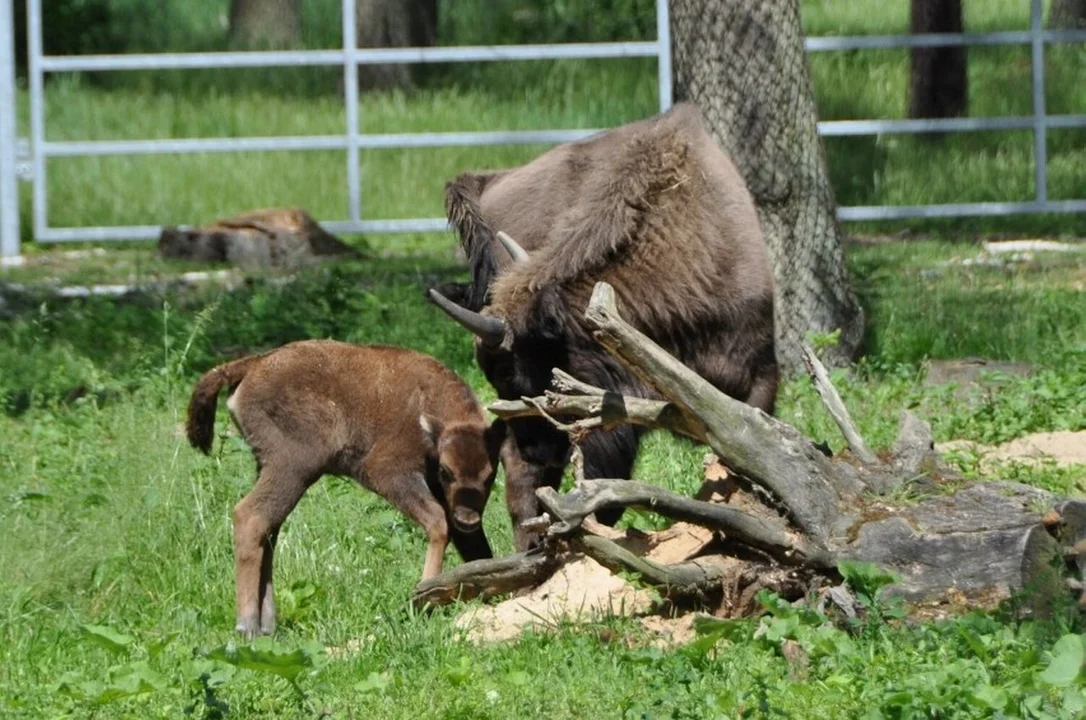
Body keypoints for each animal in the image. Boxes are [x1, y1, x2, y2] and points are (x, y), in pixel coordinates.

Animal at [186, 338, 503, 638]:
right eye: (445, 471)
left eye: (490, 475)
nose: (468, 518)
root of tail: (254, 363)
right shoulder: (388, 471)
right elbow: (438, 522)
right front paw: (423, 598)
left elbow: (474, 545)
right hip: (293, 468)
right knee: (250, 516)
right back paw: (248, 626)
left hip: (269, 468)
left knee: (269, 529)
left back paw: (267, 625)